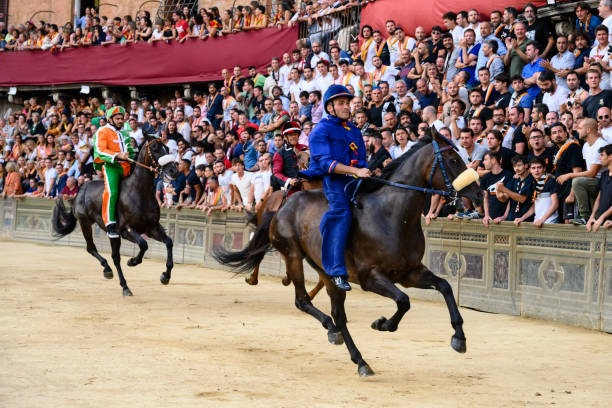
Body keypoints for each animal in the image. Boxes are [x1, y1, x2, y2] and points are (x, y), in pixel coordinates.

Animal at [52, 135, 179, 296]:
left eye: (167, 148)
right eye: (155, 148)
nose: (173, 170)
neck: (139, 192)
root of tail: (80, 191)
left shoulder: (152, 228)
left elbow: (169, 242)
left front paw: (165, 276)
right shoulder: (126, 230)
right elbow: (143, 245)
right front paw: (132, 261)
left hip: (112, 234)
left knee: (114, 257)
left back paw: (120, 281)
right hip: (86, 224)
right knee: (93, 249)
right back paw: (113, 275)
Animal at [215, 133, 482, 376]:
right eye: (453, 159)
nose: (478, 193)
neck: (392, 216)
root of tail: (281, 207)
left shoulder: (410, 272)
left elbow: (445, 286)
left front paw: (459, 337)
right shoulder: (370, 277)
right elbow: (403, 301)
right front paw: (383, 323)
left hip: (327, 271)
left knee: (338, 315)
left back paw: (357, 357)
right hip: (293, 256)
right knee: (303, 301)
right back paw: (336, 334)